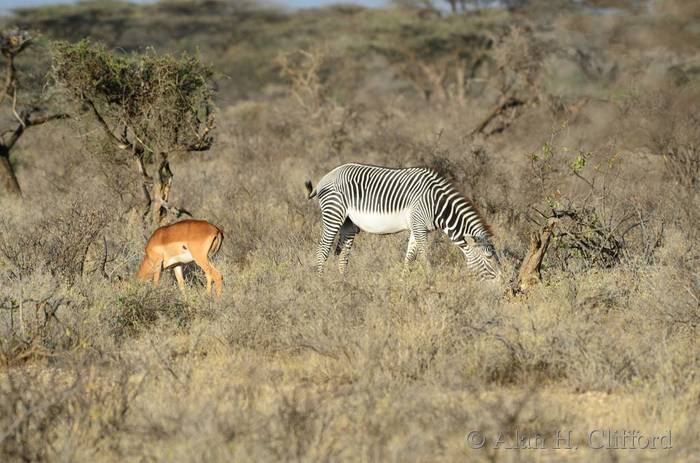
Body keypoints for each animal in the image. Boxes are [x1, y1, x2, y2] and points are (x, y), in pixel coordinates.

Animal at [305, 163, 500, 279]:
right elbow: (424, 255)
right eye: (489, 258)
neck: (438, 206)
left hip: (348, 223)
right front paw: (430, 280)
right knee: (322, 249)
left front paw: (404, 282)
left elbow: (410, 257)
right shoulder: (419, 226)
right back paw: (321, 282)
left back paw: (343, 281)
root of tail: (326, 177)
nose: (501, 284)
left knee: (343, 254)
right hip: (334, 214)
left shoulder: (417, 227)